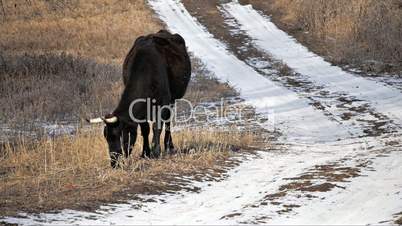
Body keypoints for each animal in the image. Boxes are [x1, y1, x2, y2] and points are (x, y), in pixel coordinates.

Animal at [89, 30, 192, 168]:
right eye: (106, 137)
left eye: (119, 135)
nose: (114, 163)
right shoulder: (141, 109)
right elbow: (145, 129)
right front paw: (145, 152)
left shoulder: (164, 103)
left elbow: (157, 126)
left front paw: (156, 151)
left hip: (173, 99)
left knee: (168, 122)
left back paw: (169, 146)